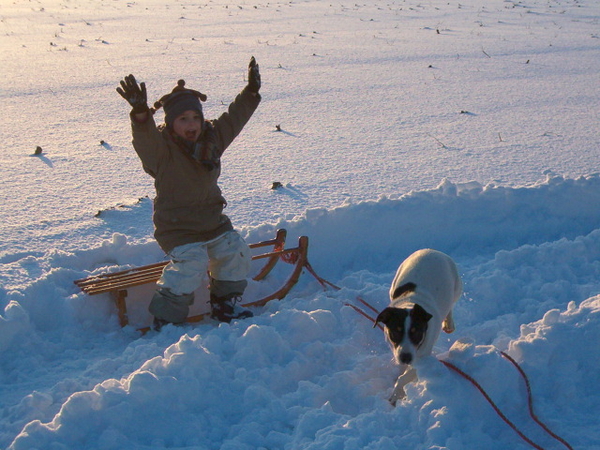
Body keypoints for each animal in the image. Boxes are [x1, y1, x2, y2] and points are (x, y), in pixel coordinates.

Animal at [376, 248, 464, 406]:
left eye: (416, 332)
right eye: (395, 332)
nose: (405, 358)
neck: (410, 303)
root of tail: (431, 250)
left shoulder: (423, 355)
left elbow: (405, 376)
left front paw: (396, 394)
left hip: (457, 286)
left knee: (451, 304)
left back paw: (449, 323)